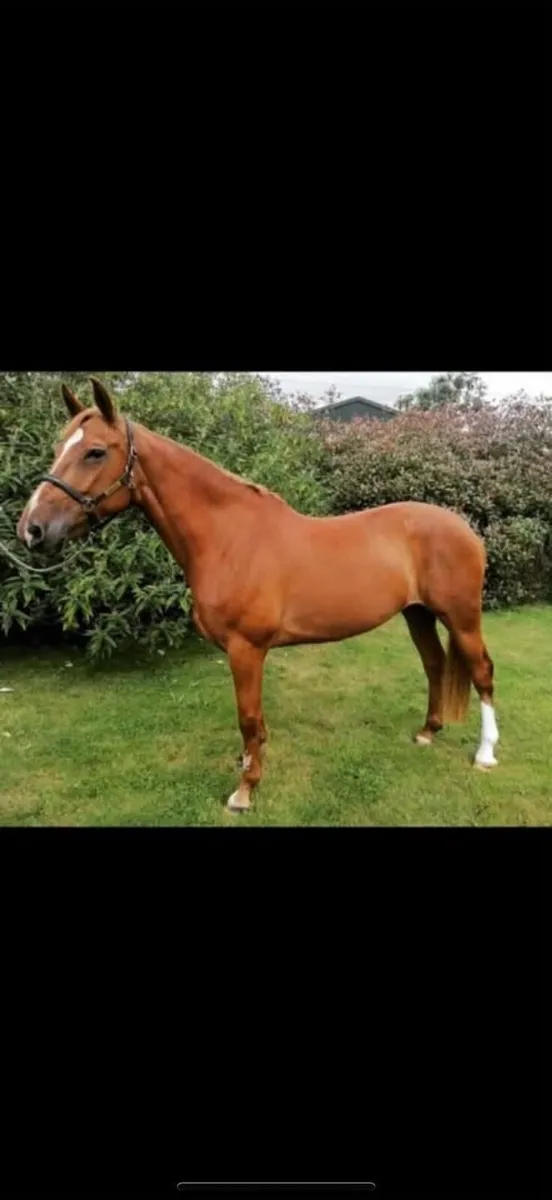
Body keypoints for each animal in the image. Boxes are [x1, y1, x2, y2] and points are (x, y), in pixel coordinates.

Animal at [16, 377, 499, 812]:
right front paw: (247, 766)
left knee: (482, 672)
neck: (230, 537)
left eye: (95, 451)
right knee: (435, 663)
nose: (32, 529)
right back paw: (428, 732)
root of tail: (463, 528)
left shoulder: (246, 649)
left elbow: (249, 719)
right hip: (418, 613)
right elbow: (252, 726)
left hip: (461, 616)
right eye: (58, 447)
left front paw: (245, 791)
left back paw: (485, 754)